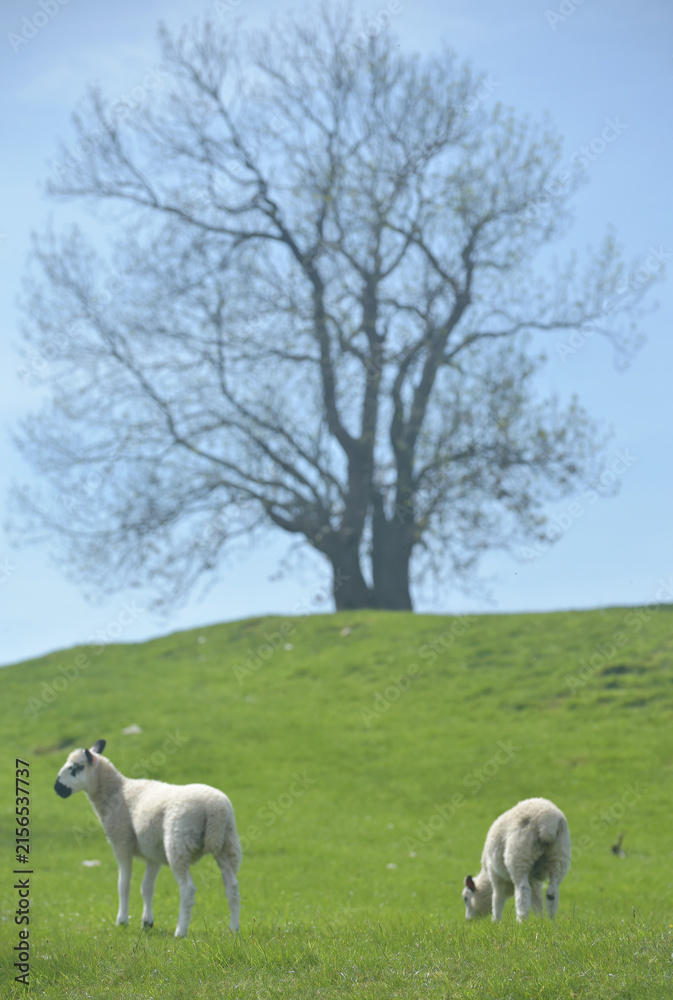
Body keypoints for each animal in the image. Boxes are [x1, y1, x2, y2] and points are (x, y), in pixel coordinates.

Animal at [54, 739, 241, 937]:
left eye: (76, 767)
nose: (57, 788)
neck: (115, 792)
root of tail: (215, 808)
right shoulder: (154, 854)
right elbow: (147, 887)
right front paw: (147, 922)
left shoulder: (122, 842)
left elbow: (123, 884)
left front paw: (122, 921)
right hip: (227, 843)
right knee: (232, 887)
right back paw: (234, 929)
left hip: (178, 844)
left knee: (188, 890)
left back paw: (181, 931)